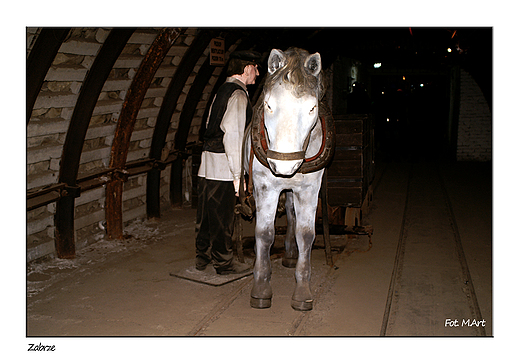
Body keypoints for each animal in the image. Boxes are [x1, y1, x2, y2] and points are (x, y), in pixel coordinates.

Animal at [243, 47, 334, 310]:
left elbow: (306, 234)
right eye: (268, 105)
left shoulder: (309, 189)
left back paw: (291, 255)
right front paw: (261, 286)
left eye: (312, 108)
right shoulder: (265, 186)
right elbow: (264, 233)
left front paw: (302, 289)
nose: (284, 165)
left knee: (293, 215)